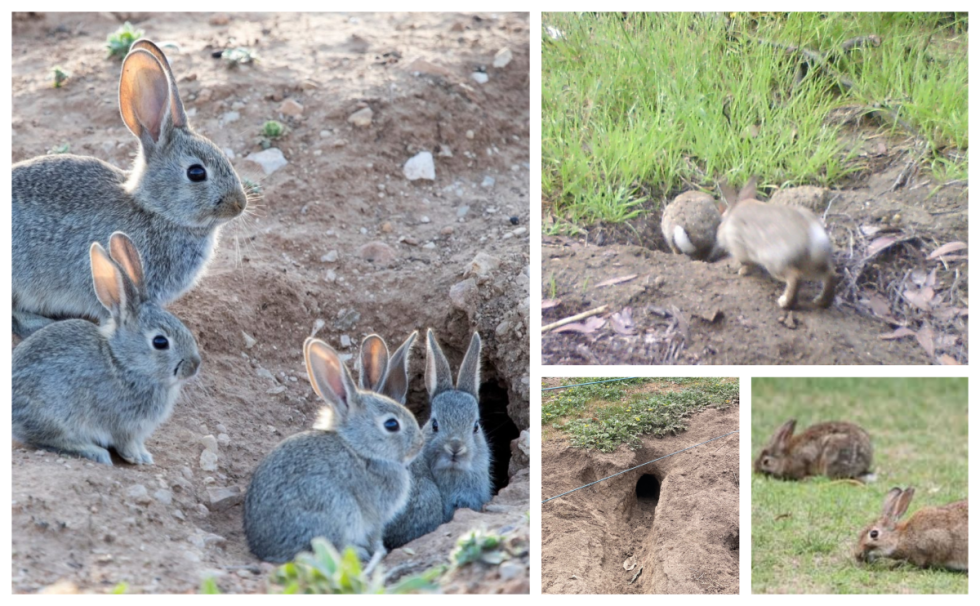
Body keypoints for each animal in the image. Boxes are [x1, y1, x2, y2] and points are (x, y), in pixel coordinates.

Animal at [12, 232, 201, 466]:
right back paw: (94, 452)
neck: (123, 363)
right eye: (160, 342)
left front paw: (145, 455)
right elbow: (125, 444)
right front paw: (138, 458)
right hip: (54, 416)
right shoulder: (124, 425)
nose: (194, 365)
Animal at [243, 335, 424, 572]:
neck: (360, 449)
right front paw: (379, 550)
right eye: (392, 424)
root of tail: (267, 550)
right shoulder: (376, 516)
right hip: (337, 508)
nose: (420, 444)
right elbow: (375, 534)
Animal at [715, 177, 836, 309]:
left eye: (720, 222)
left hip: (775, 262)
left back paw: (784, 302)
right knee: (830, 275)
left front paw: (741, 272)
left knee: (795, 277)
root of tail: (811, 234)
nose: (718, 234)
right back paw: (821, 301)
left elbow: (745, 263)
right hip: (814, 265)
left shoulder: (739, 248)